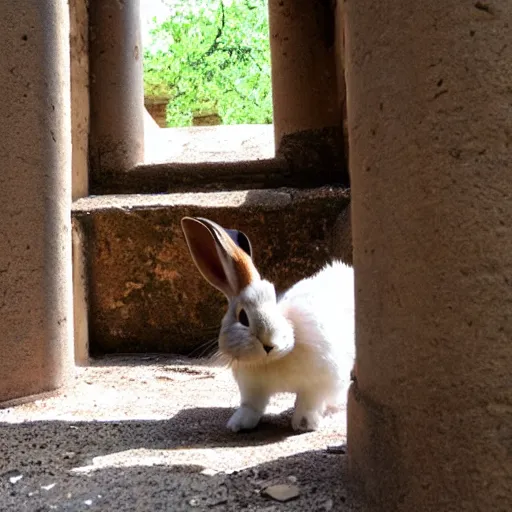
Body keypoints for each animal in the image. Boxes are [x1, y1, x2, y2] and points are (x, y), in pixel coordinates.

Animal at [182, 216, 354, 432]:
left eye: (275, 309)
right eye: (243, 318)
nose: (269, 344)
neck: (272, 361)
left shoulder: (318, 384)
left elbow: (308, 404)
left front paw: (304, 425)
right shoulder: (252, 388)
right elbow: (251, 406)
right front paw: (238, 424)